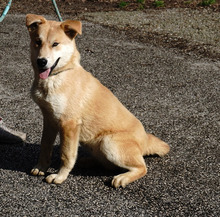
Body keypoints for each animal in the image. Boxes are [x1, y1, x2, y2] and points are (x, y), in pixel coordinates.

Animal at [26, 13, 170, 187]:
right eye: (38, 42)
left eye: (55, 44)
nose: (41, 61)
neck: (58, 76)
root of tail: (145, 139)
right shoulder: (49, 120)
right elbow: (45, 147)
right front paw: (41, 167)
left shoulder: (69, 124)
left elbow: (66, 155)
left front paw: (60, 176)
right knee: (107, 165)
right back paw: (87, 161)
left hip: (109, 143)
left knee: (141, 167)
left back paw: (122, 178)